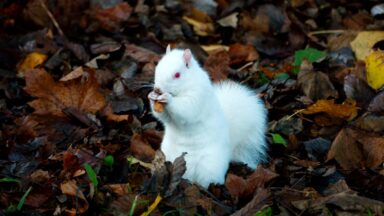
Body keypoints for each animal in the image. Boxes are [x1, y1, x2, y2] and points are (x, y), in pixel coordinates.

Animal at [147, 46, 268, 188]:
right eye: (157, 68)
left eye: (177, 75)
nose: (158, 89)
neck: (186, 85)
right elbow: (164, 117)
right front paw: (151, 96)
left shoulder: (198, 96)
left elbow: (187, 109)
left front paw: (167, 98)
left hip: (209, 166)